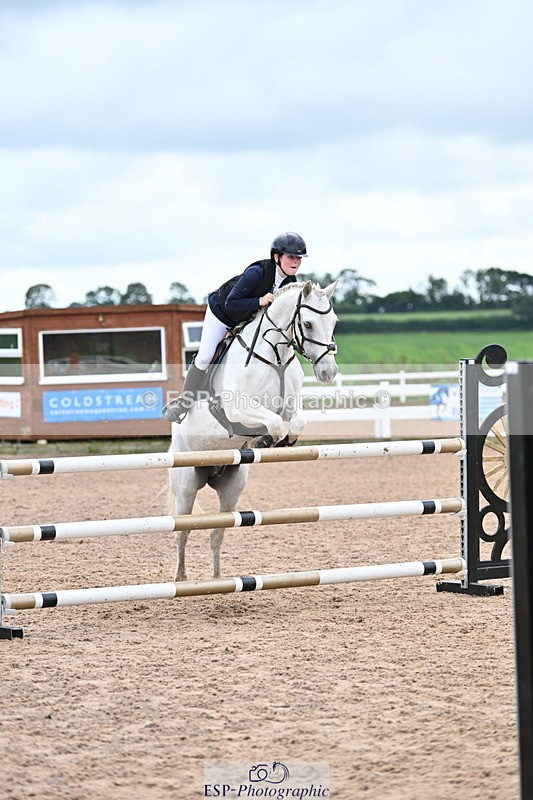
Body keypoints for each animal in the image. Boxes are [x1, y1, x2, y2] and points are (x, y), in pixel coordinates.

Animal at [166, 280, 339, 581]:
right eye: (307, 324)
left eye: (334, 322)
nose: (329, 373)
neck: (275, 356)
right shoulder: (238, 410)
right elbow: (273, 424)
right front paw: (263, 440)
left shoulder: (289, 406)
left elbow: (295, 423)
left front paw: (279, 441)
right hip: (186, 484)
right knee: (183, 532)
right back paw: (182, 580)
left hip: (231, 488)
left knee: (217, 533)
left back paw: (217, 581)